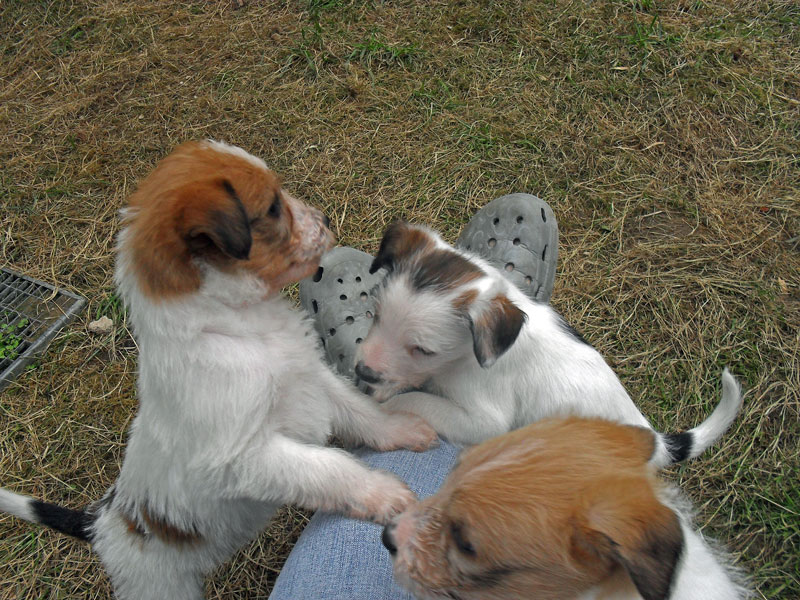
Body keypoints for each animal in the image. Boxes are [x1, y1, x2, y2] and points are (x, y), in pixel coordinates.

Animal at [0, 141, 437, 600]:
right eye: (272, 208)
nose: (326, 219)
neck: (234, 328)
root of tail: (99, 521)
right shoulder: (244, 454)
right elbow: (328, 467)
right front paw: (384, 493)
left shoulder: (312, 377)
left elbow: (362, 412)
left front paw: (404, 428)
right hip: (161, 586)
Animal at [355, 221, 734, 449]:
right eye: (375, 314)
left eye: (424, 349)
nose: (361, 371)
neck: (466, 357)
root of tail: (653, 439)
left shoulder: (484, 421)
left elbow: (417, 400)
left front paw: (385, 407)